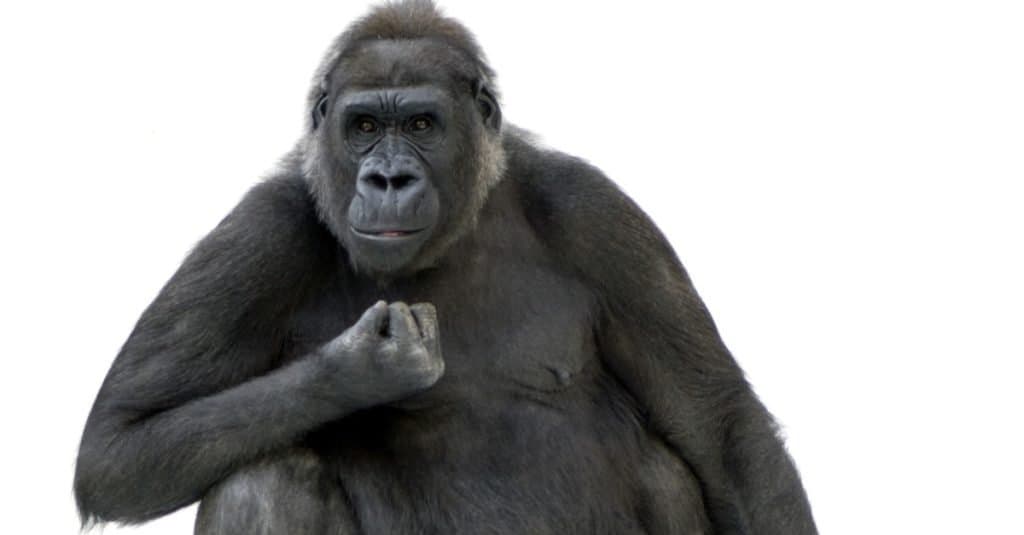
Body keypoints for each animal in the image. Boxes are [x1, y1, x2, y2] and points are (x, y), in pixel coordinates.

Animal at [74, 2, 815, 528]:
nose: (389, 178)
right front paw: (360, 366)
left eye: (422, 125)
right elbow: (119, 447)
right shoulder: (261, 232)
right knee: (259, 480)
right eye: (364, 126)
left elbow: (725, 433)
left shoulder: (598, 215)